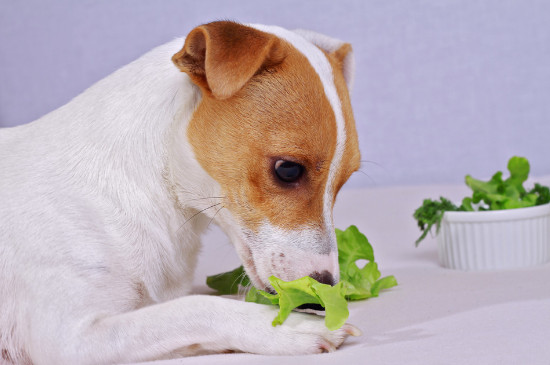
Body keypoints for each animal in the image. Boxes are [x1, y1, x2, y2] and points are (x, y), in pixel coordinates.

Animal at [0, 21, 364, 362]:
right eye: (288, 169)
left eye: (344, 180)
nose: (324, 292)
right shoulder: (70, 340)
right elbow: (195, 307)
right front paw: (290, 327)